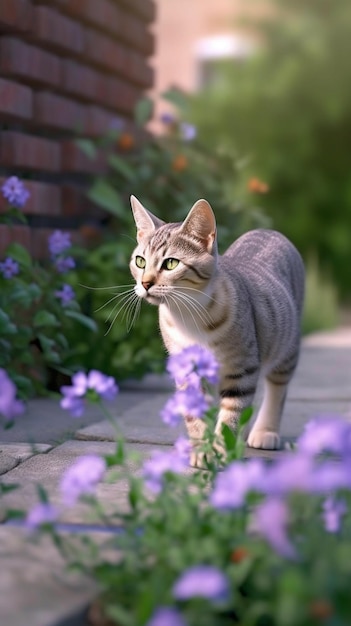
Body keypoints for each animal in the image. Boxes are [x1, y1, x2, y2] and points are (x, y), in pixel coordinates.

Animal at [129, 195, 306, 464]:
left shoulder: (242, 369)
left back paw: (265, 431)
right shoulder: (187, 369)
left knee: (277, 388)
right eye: (140, 261)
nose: (145, 283)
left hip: (287, 348)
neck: (187, 316)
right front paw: (202, 450)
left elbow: (231, 414)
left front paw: (222, 451)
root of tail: (267, 230)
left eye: (171, 263)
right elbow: (196, 415)